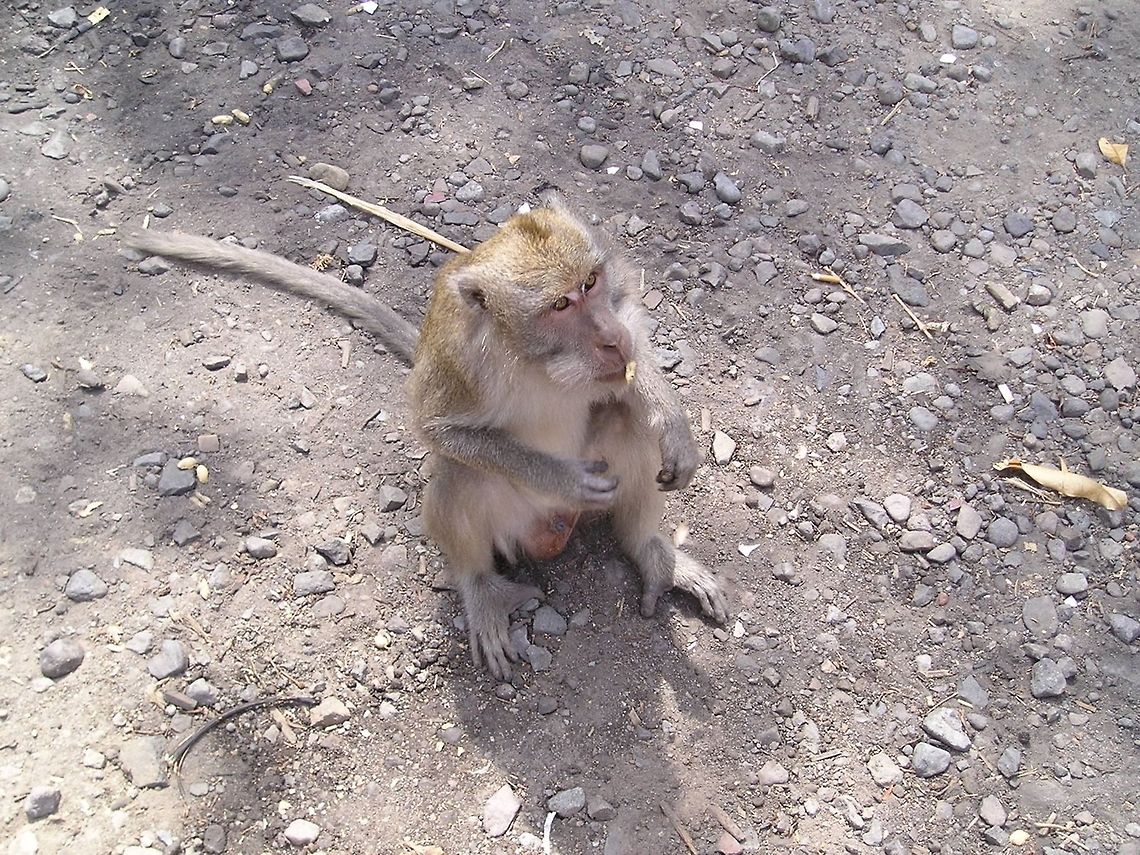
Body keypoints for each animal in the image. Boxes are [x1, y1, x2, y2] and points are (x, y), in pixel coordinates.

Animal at [122, 200, 730, 679]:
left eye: (591, 284)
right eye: (560, 305)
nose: (609, 338)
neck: (532, 357)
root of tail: (555, 532)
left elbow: (633, 366)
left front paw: (674, 425)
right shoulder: (461, 360)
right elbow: (441, 430)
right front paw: (561, 477)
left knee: (625, 419)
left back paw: (648, 549)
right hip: (514, 523)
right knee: (463, 474)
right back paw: (482, 589)